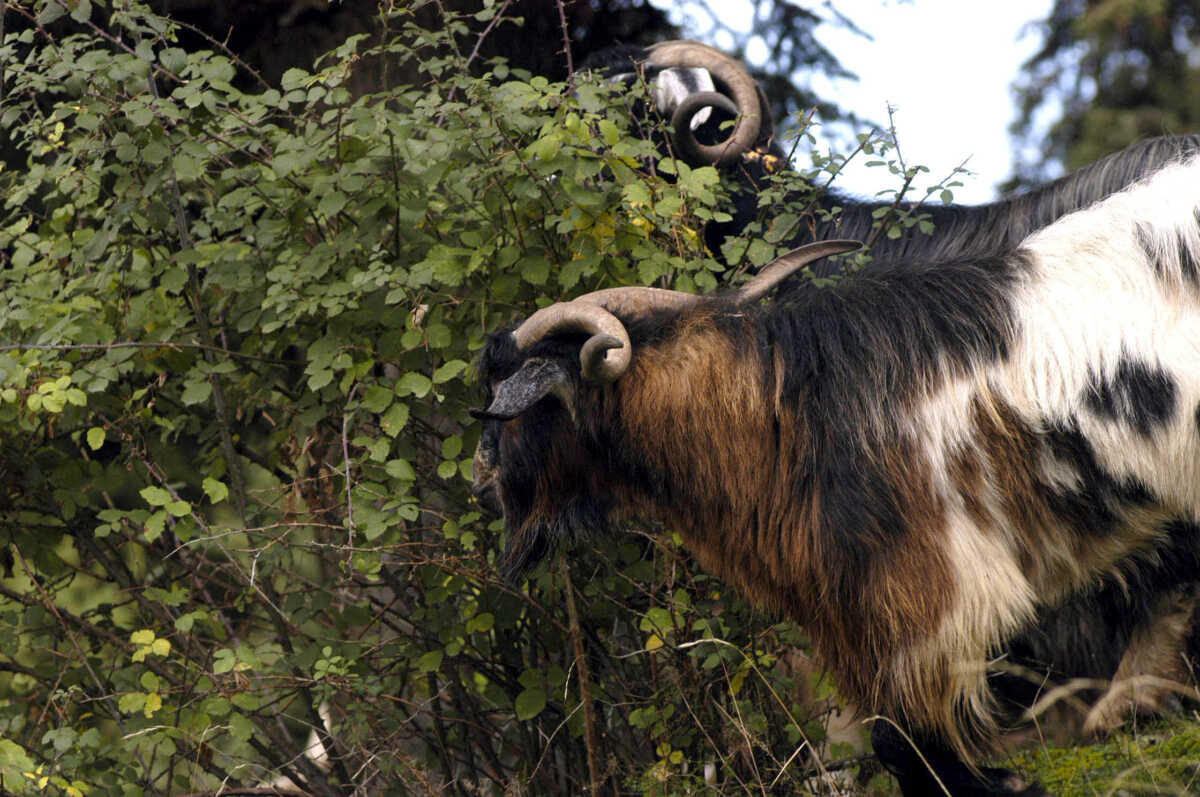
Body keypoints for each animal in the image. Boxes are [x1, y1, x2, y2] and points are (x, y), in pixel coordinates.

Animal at [472, 157, 1200, 797]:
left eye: (513, 398)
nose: (481, 478)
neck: (782, 409)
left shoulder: (930, 591)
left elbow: (900, 738)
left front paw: (1000, 782)